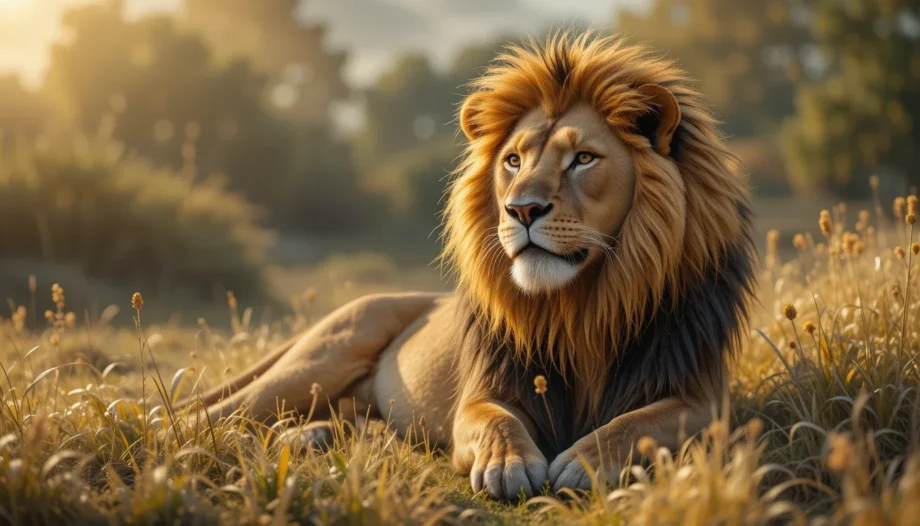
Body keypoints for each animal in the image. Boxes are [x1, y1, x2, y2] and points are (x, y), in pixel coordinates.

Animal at [180, 31, 755, 500]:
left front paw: (584, 462)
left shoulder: (705, 399)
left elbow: (638, 423)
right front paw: (509, 464)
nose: (521, 210)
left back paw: (311, 436)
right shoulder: (481, 395)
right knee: (209, 414)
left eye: (584, 159)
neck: (581, 307)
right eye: (513, 161)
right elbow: (494, 421)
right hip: (325, 354)